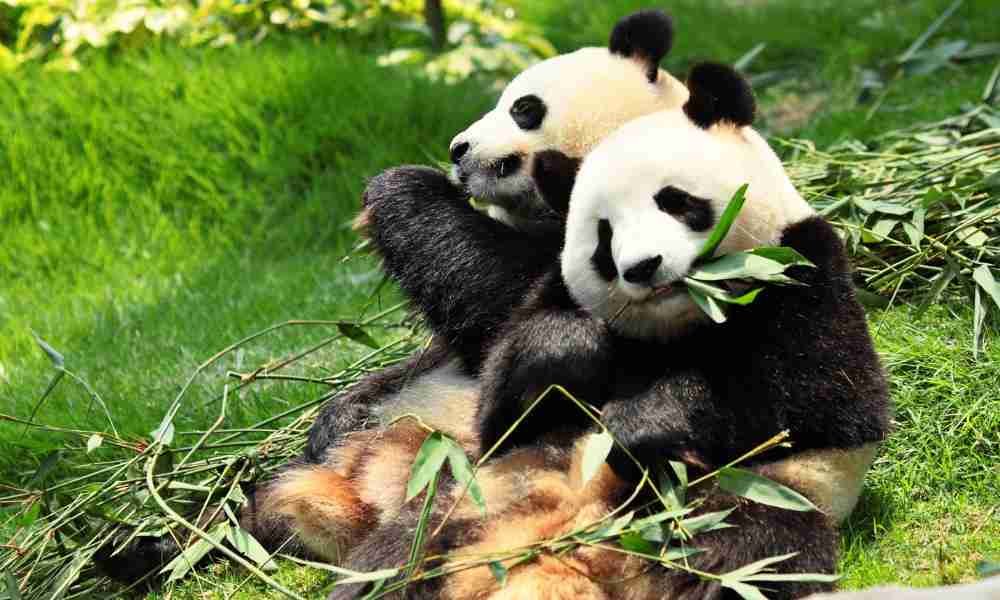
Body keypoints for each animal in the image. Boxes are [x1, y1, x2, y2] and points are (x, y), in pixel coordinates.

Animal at [326, 62, 892, 600]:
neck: (679, 325)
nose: (643, 267)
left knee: (744, 551)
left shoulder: (804, 273)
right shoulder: (551, 296)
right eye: (604, 235)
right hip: (472, 497)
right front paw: (569, 352)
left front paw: (646, 421)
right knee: (397, 559)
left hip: (747, 497)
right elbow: (501, 407)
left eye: (675, 201)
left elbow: (819, 403)